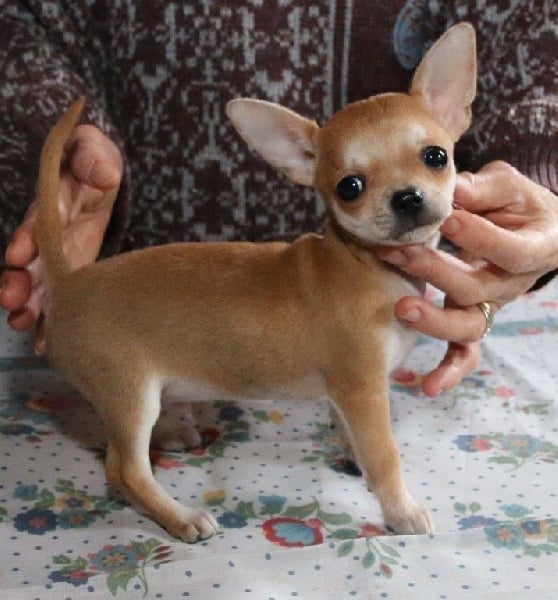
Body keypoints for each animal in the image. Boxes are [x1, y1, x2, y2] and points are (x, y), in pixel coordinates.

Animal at [35, 23, 476, 542]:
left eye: (436, 156)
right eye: (349, 187)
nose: (407, 198)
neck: (370, 265)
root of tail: (68, 282)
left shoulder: (347, 394)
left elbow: (349, 434)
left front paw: (353, 460)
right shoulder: (364, 388)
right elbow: (385, 455)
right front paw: (400, 510)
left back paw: (173, 432)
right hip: (128, 393)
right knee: (124, 470)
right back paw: (181, 517)